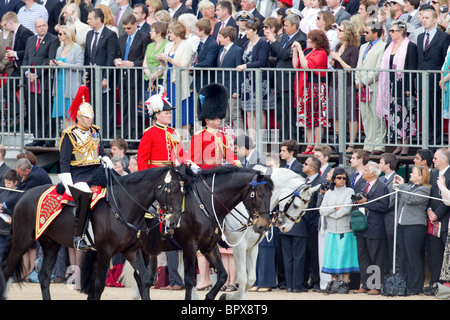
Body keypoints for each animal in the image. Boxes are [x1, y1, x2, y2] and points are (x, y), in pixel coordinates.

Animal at [0, 164, 190, 302]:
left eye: (183, 193)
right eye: (172, 190)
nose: (175, 222)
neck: (123, 205)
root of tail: (24, 194)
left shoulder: (131, 251)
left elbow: (143, 279)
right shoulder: (105, 251)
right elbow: (98, 285)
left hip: (51, 245)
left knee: (44, 276)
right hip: (23, 240)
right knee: (7, 269)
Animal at [137, 165, 272, 300]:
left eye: (270, 195)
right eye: (259, 195)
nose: (263, 226)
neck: (205, 204)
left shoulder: (210, 247)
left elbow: (225, 275)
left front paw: (216, 296)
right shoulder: (191, 247)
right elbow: (189, 280)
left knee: (140, 277)